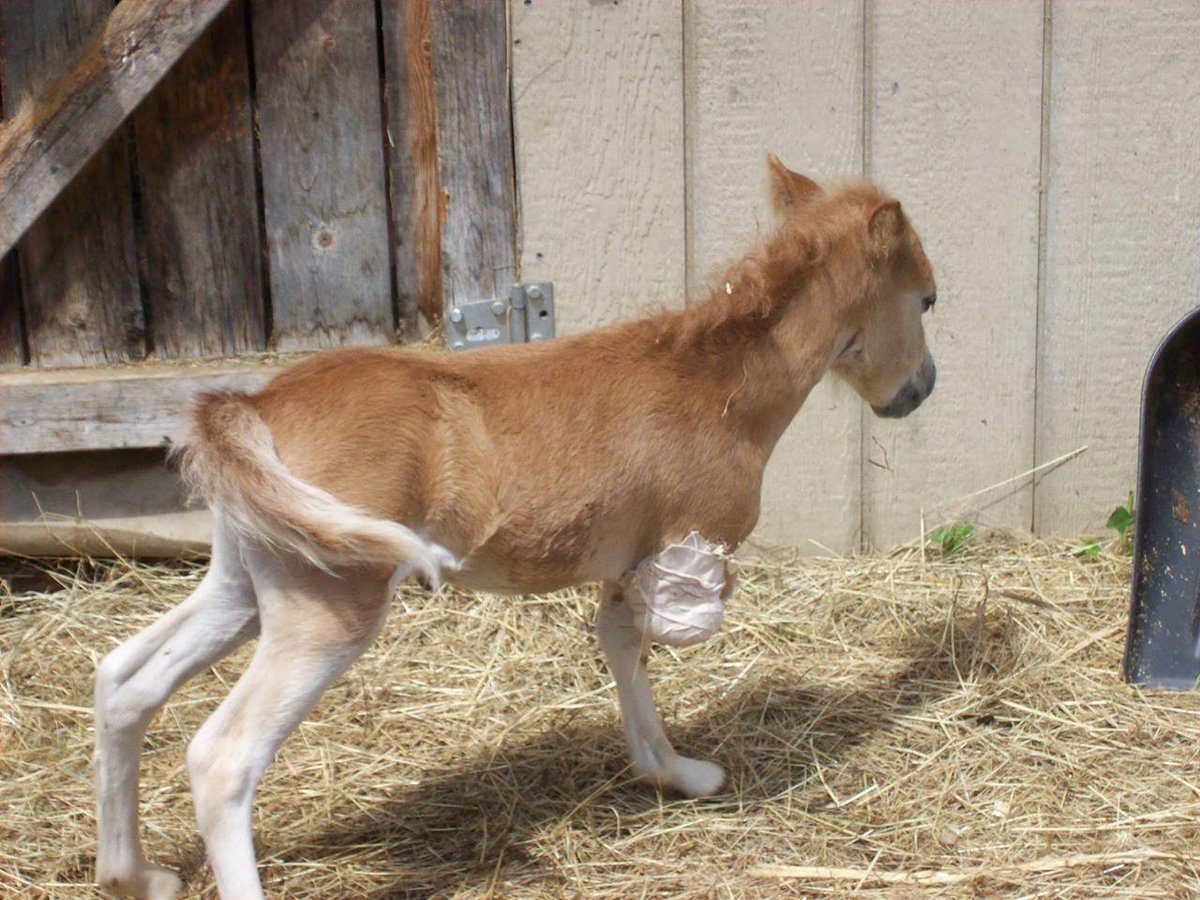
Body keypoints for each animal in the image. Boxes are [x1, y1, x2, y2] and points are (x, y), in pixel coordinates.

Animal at [93, 154, 937, 899]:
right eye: (927, 298)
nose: (922, 388)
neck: (718, 385)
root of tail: (251, 406)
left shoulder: (628, 562)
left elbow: (621, 647)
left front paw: (670, 772)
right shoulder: (685, 552)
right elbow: (646, 644)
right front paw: (686, 771)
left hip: (249, 577)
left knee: (124, 682)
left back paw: (134, 875)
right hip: (328, 606)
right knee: (222, 757)